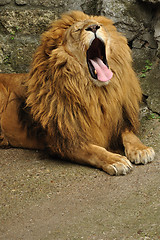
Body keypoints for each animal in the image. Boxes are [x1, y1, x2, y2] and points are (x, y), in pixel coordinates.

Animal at [0, 10, 155, 174]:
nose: (93, 27)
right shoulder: (64, 140)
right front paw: (115, 160)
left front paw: (141, 149)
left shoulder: (119, 120)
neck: (96, 93)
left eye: (99, 25)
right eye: (77, 30)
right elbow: (94, 151)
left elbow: (129, 134)